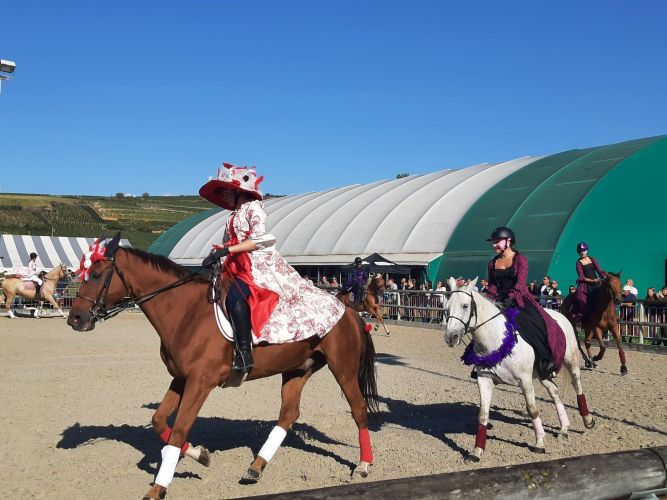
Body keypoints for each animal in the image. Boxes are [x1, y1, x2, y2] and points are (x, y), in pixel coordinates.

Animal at [68, 235, 380, 500]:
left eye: (96, 275)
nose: (75, 318)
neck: (185, 313)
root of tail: (348, 310)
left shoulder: (200, 383)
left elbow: (179, 429)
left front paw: (158, 488)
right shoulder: (181, 379)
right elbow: (159, 421)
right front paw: (200, 455)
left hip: (343, 368)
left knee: (358, 409)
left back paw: (363, 465)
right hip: (297, 369)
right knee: (288, 414)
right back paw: (256, 466)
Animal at [444, 278, 596, 460]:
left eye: (465, 306)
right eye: (447, 307)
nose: (450, 337)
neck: (497, 339)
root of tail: (560, 316)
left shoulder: (525, 381)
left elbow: (532, 410)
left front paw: (539, 443)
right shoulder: (484, 380)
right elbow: (483, 414)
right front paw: (477, 451)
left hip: (571, 361)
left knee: (577, 386)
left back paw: (588, 420)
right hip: (542, 374)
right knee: (554, 391)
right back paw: (564, 427)